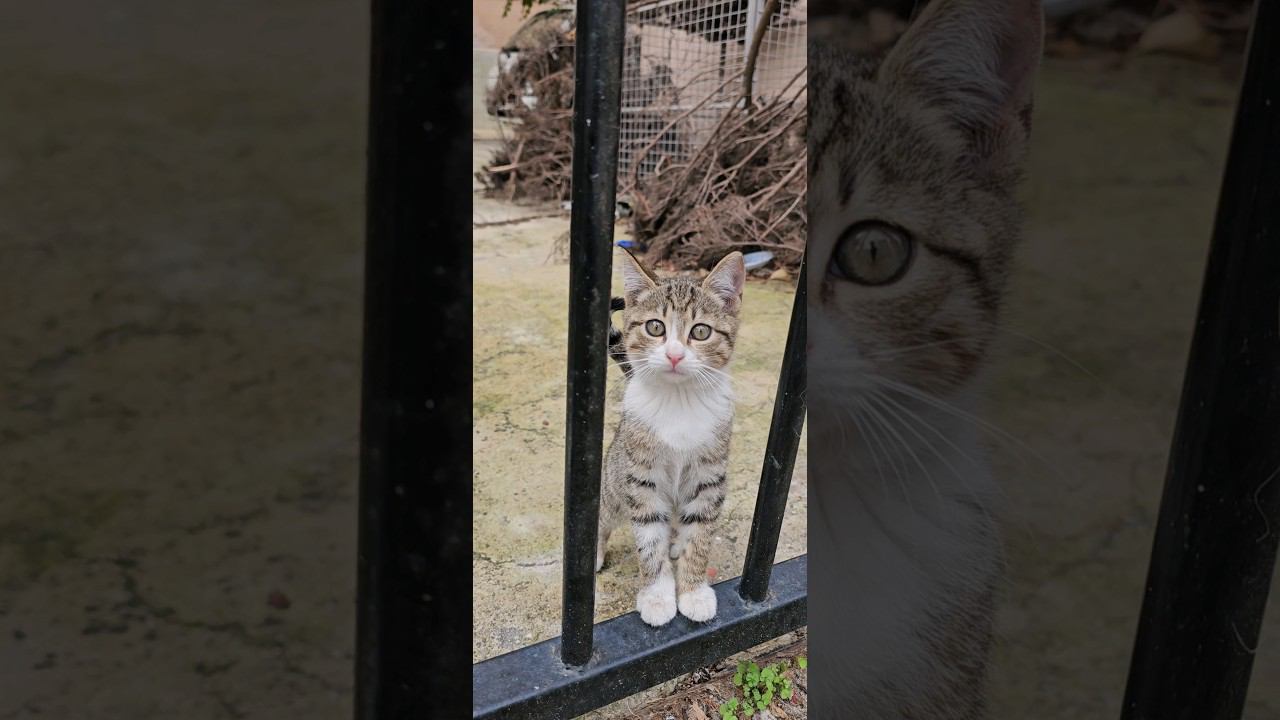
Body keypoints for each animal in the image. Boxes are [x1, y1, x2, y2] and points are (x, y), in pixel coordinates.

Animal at [599, 249, 747, 625]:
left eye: (701, 331)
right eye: (655, 327)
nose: (675, 354)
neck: (679, 400)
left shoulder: (709, 475)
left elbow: (701, 535)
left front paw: (693, 590)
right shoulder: (641, 477)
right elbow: (649, 540)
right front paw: (656, 595)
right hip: (615, 480)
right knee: (604, 517)